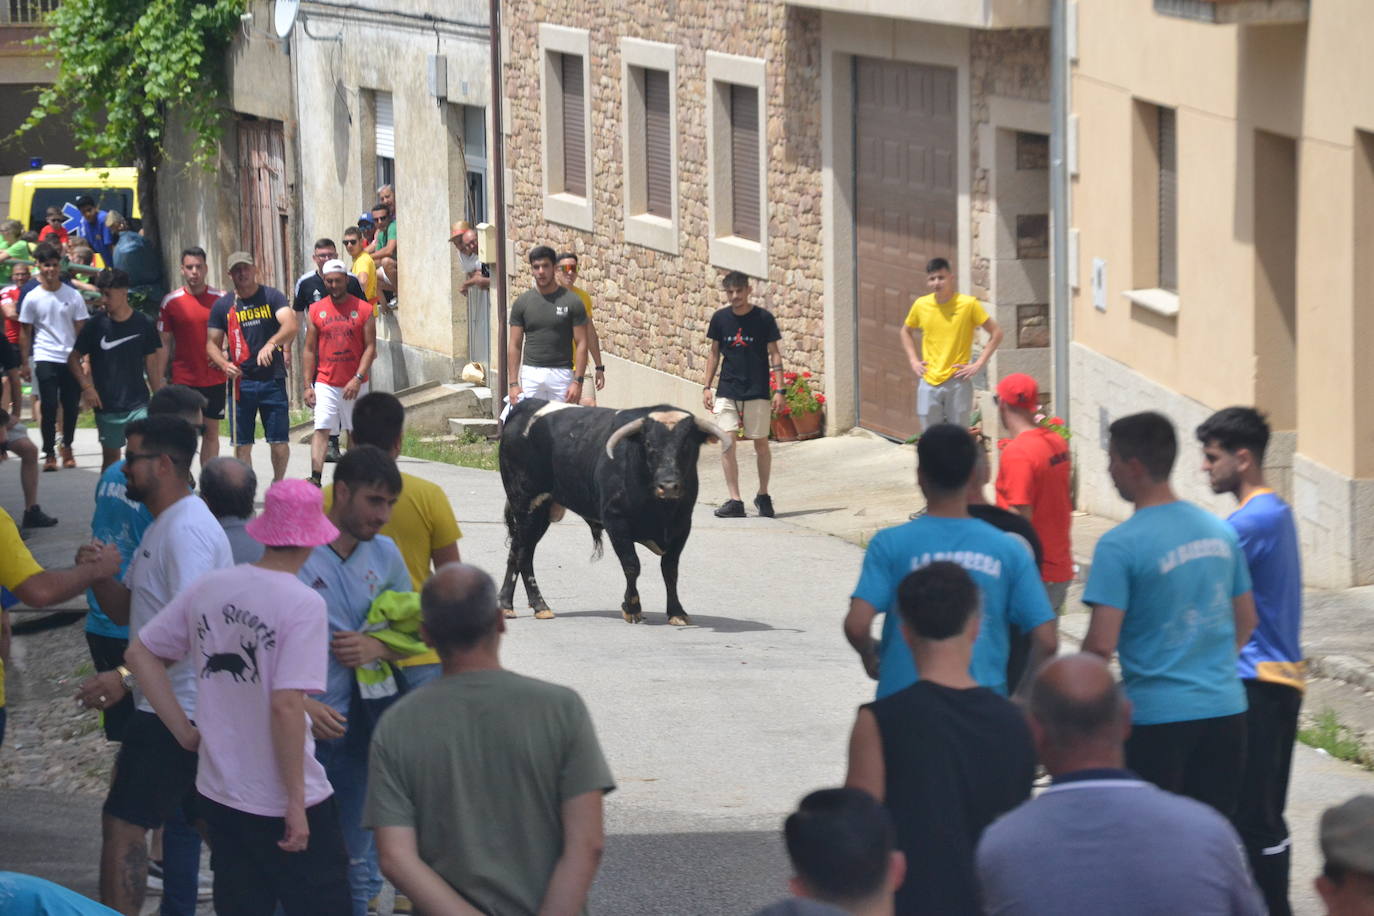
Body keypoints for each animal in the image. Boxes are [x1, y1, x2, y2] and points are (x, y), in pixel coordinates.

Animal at [494, 398, 730, 623]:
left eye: (687, 444)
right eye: (648, 443)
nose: (669, 486)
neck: (660, 509)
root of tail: (527, 404)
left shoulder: (682, 525)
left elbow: (670, 569)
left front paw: (677, 612)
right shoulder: (616, 521)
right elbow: (632, 565)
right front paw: (632, 608)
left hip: (540, 513)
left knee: (516, 551)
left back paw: (508, 605)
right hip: (526, 505)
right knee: (524, 555)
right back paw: (538, 606)